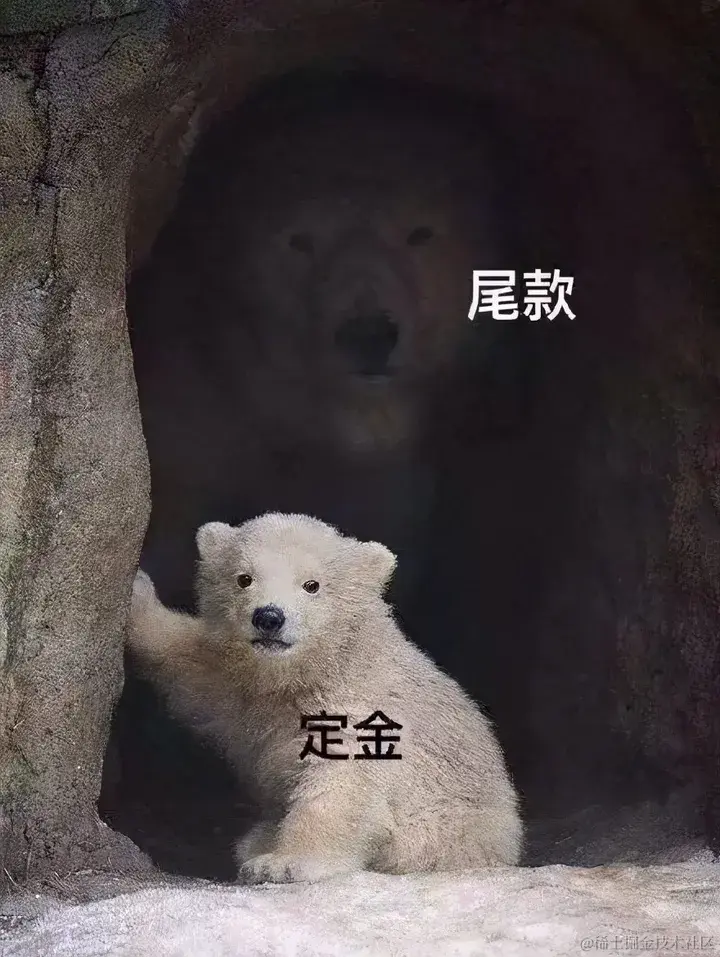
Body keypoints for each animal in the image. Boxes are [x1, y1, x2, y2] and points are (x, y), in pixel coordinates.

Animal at [127, 511, 524, 883]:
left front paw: (282, 863)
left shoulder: (359, 706)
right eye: (243, 578)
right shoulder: (241, 686)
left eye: (311, 585)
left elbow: (340, 786)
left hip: (449, 830)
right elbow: (192, 667)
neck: (311, 672)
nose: (268, 617)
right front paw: (136, 594)